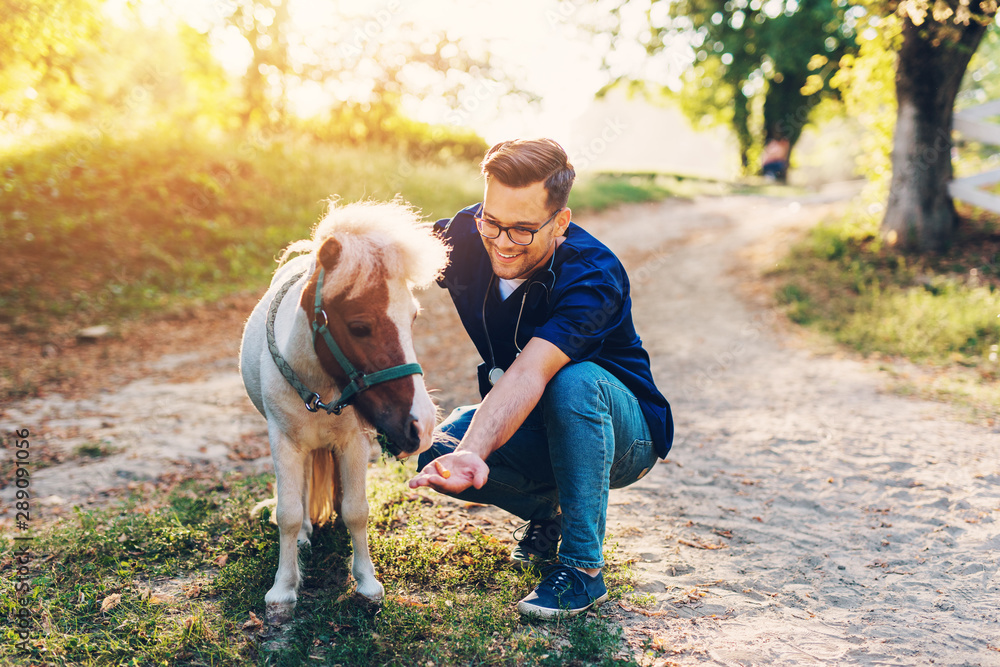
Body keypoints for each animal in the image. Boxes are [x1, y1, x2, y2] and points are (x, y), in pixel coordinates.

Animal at [239, 199, 449, 624]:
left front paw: (366, 584)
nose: (420, 426)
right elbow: (287, 513)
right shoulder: (283, 443)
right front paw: (283, 590)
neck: (317, 384)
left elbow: (356, 511)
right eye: (359, 326)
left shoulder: (352, 444)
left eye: (413, 318)